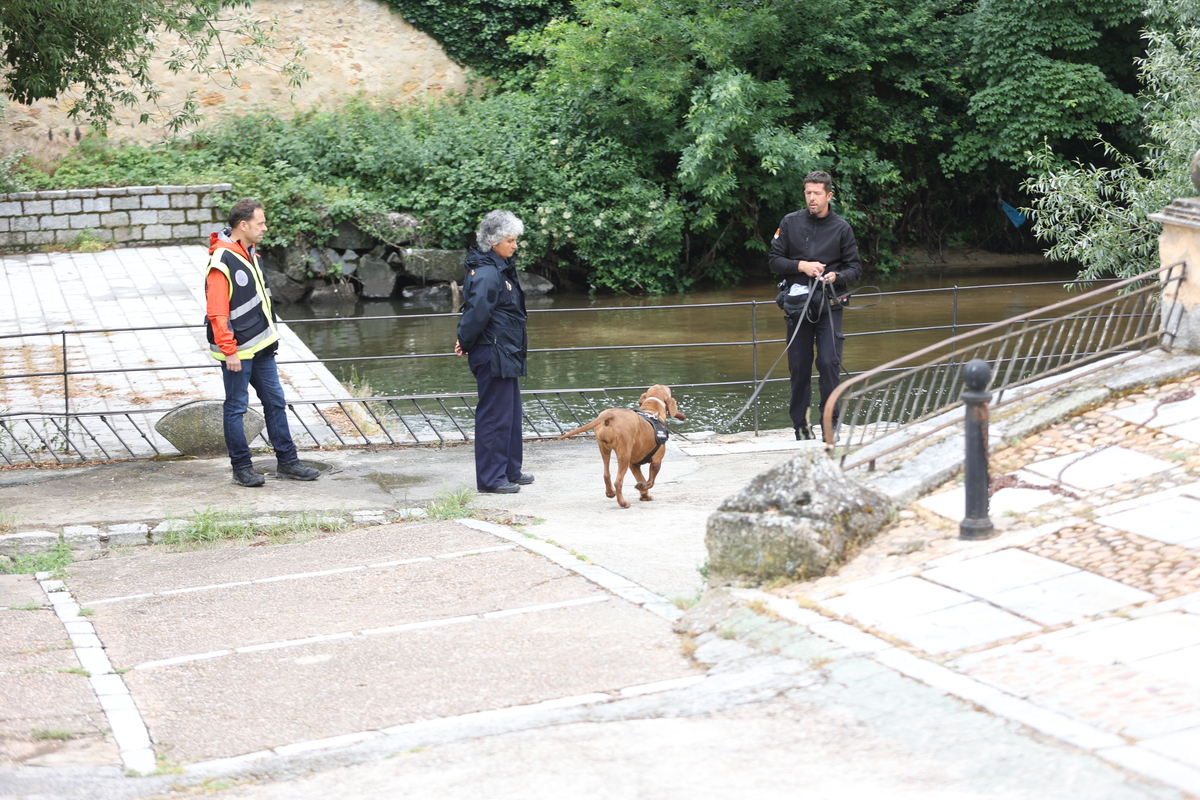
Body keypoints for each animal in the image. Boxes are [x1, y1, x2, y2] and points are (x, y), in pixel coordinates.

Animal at [554, 386, 686, 510]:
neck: (651, 409)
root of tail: (610, 414)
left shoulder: (634, 464)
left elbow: (642, 479)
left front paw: (644, 495)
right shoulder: (656, 461)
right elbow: (650, 481)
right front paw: (642, 489)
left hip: (604, 450)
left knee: (606, 474)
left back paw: (610, 493)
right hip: (624, 455)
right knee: (618, 482)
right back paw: (623, 503)